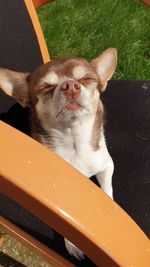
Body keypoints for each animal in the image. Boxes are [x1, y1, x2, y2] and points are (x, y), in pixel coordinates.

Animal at [0, 47, 117, 260]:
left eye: (87, 79)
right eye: (46, 87)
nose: (70, 85)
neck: (74, 145)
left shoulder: (106, 164)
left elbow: (107, 189)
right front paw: (73, 243)